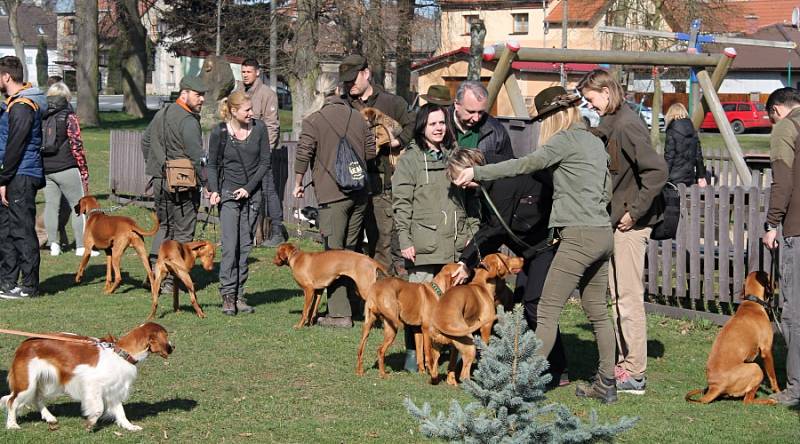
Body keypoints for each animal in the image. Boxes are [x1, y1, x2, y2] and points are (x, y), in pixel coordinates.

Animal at [0, 322, 173, 430]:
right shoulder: (92, 385)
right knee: (11, 401)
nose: (173, 347)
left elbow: (120, 411)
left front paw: (129, 426)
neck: (121, 353)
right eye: (166, 336)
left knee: (37, 399)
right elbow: (98, 408)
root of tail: (25, 343)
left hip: (45, 382)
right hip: (27, 383)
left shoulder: (114, 389)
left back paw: (49, 417)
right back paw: (12, 425)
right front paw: (91, 423)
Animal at [428, 253, 520, 386]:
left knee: (434, 370)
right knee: (464, 375)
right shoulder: (486, 328)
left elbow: (451, 363)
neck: (481, 284)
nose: (522, 259)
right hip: (471, 347)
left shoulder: (454, 348)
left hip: (437, 349)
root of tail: (442, 324)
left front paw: (451, 380)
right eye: (506, 258)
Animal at [684, 272, 784, 404]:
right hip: (756, 368)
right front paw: (778, 391)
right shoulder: (766, 351)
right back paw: (768, 401)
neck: (752, 303)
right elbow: (773, 377)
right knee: (747, 401)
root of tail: (715, 386)